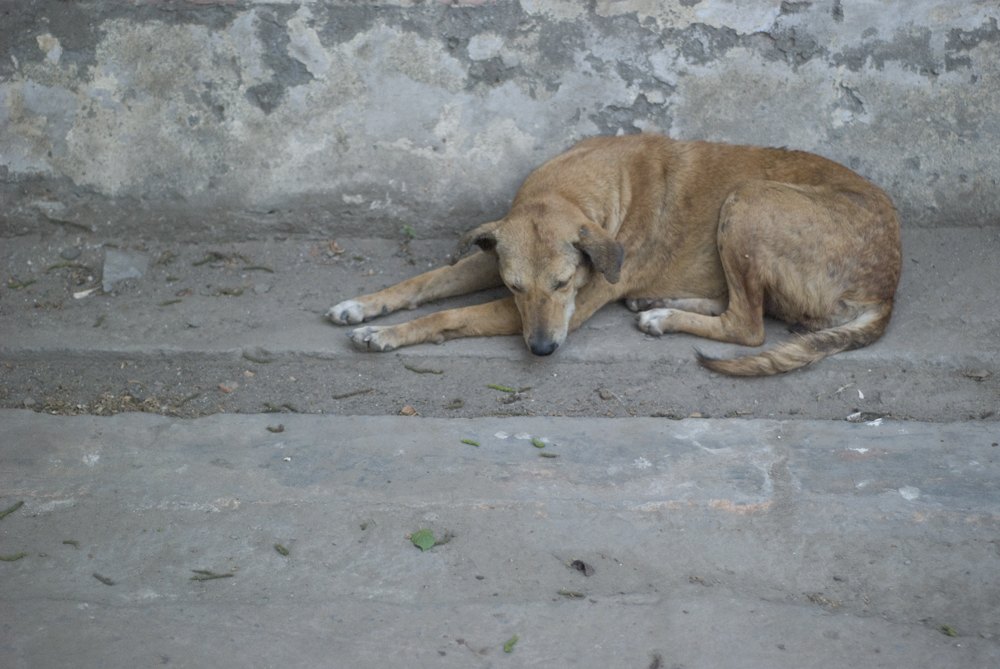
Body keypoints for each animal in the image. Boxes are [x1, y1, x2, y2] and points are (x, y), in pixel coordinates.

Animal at [326, 134, 900, 376]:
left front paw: (385, 334)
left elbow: (448, 315)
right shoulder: (492, 259)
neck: (566, 190)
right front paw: (362, 305)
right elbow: (423, 283)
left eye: (563, 284)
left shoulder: (569, 311)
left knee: (750, 326)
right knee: (744, 308)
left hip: (748, 199)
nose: (542, 351)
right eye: (514, 287)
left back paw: (663, 317)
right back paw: (661, 304)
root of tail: (888, 288)